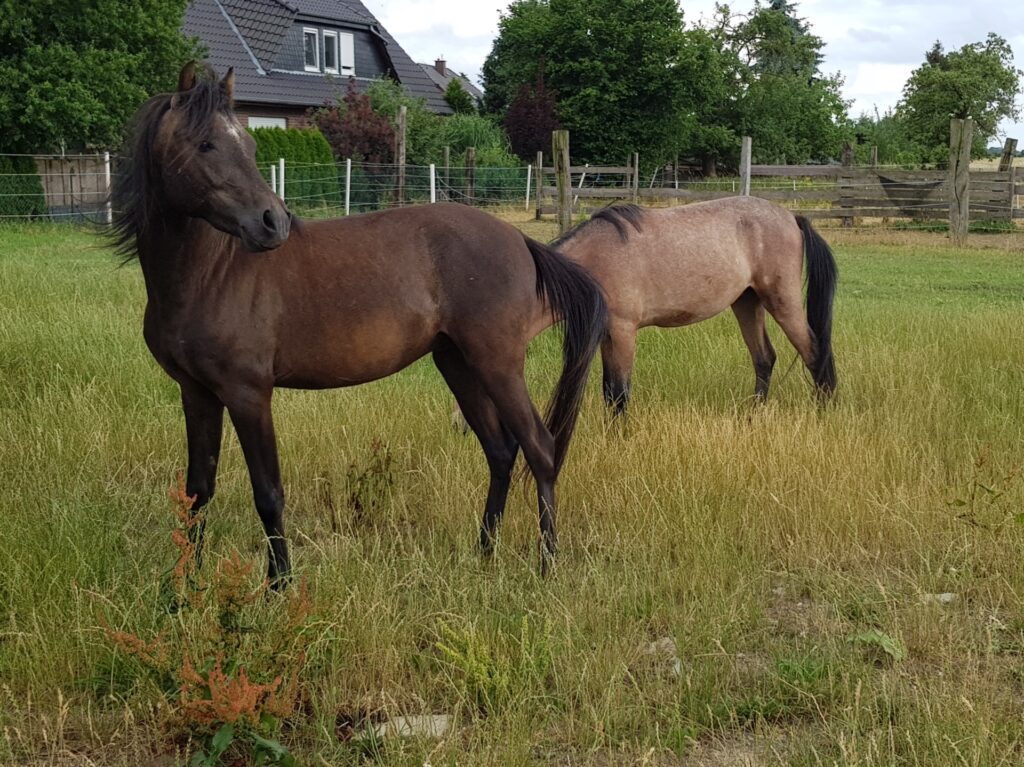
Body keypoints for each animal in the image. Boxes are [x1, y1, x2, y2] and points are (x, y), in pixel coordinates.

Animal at [110, 66, 606, 581]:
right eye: (206, 143)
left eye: (247, 143)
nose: (273, 223)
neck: (210, 273)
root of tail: (519, 240)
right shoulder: (198, 394)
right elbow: (198, 491)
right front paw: (184, 585)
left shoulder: (248, 395)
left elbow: (267, 494)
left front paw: (278, 584)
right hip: (459, 365)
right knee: (501, 451)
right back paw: (484, 551)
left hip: (498, 365)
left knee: (540, 448)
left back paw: (547, 564)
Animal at [561, 198, 839, 413]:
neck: (597, 257)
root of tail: (792, 217)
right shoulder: (608, 335)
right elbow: (609, 391)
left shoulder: (623, 331)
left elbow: (618, 393)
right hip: (747, 302)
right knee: (764, 358)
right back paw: (754, 412)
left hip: (782, 302)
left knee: (814, 353)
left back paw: (822, 411)